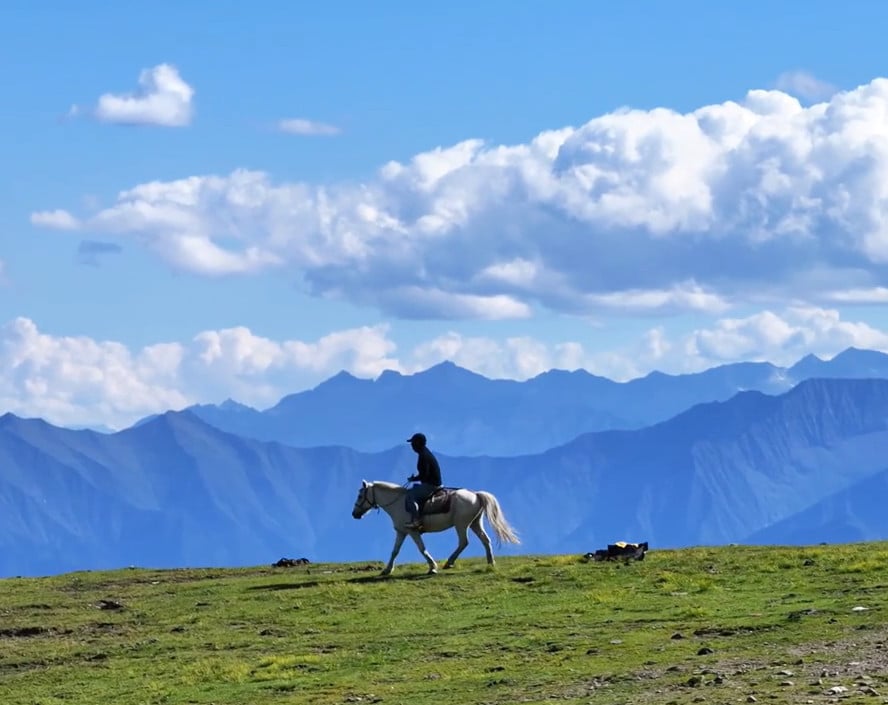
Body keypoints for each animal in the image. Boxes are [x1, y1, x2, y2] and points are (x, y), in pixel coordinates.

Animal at [351, 480, 520, 576]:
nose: (354, 514)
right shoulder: (402, 532)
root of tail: (476, 494)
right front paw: (387, 570)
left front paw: (432, 567)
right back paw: (490, 563)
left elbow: (422, 549)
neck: (398, 503)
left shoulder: (412, 531)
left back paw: (449, 562)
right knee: (486, 540)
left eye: (359, 496)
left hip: (461, 524)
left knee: (463, 542)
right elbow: (395, 551)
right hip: (475, 523)